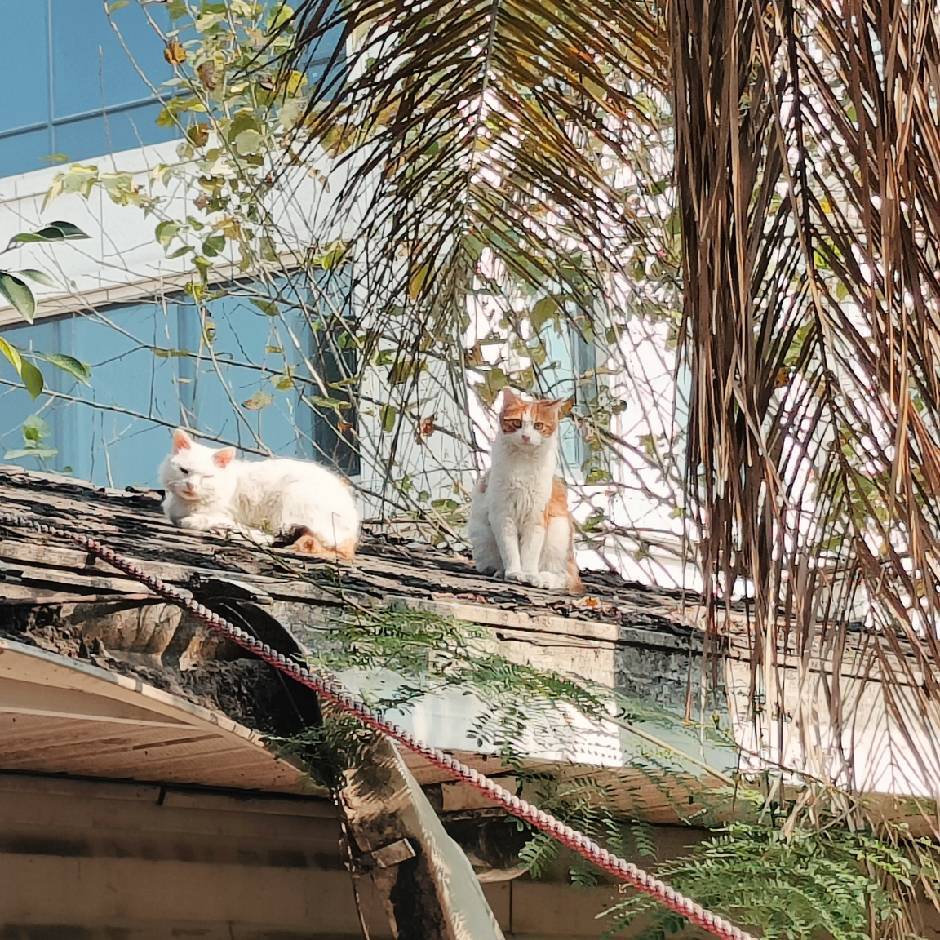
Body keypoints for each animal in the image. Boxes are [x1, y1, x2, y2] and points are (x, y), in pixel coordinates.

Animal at [160, 432, 358, 560]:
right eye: (184, 471)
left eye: (207, 477)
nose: (191, 485)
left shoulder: (225, 514)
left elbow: (205, 520)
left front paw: (198, 522)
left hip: (291, 498)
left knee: (272, 536)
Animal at [468, 390, 584, 596]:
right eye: (517, 423)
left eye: (538, 425)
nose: (526, 437)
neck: (523, 462)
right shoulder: (503, 515)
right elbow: (510, 550)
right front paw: (514, 573)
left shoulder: (536, 517)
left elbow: (530, 552)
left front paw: (529, 575)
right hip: (481, 531)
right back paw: (500, 571)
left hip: (558, 530)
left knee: (565, 578)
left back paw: (544, 579)